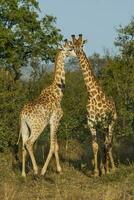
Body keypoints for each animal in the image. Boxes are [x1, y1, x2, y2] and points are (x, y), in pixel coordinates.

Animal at [17, 40, 76, 177]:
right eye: (70, 49)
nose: (76, 54)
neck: (58, 92)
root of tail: (23, 114)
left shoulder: (52, 122)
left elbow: (56, 146)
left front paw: (59, 169)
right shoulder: (55, 120)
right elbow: (53, 146)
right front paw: (45, 171)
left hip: (24, 127)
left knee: (23, 145)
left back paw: (23, 174)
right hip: (38, 126)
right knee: (29, 143)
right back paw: (35, 170)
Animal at [70, 35, 116, 176]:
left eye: (82, 45)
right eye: (73, 45)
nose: (78, 52)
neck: (93, 95)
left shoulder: (105, 122)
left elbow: (106, 145)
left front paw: (107, 170)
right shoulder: (92, 123)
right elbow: (95, 146)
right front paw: (96, 172)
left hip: (111, 123)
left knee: (109, 144)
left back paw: (112, 168)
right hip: (102, 128)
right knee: (104, 144)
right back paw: (103, 167)